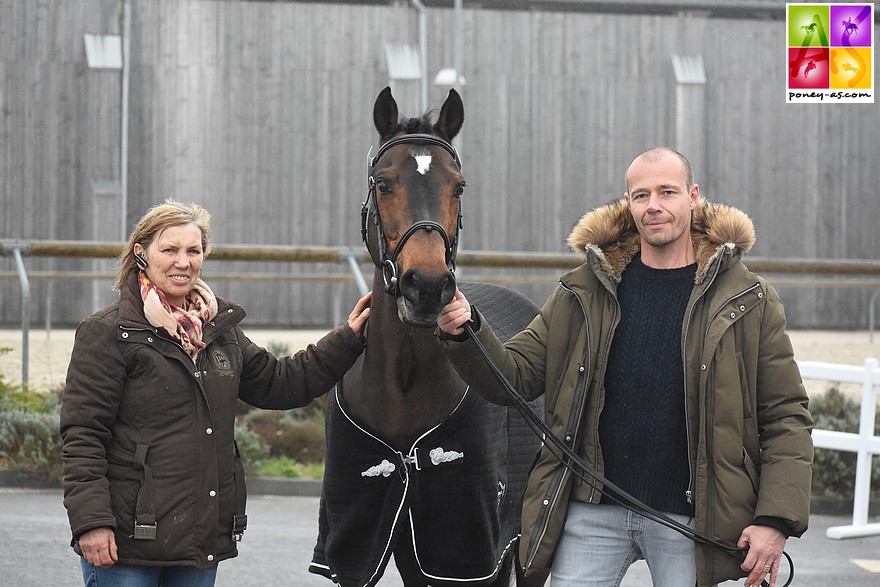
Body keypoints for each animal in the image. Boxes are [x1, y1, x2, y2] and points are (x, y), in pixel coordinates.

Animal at [310, 88, 544, 587]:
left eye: (458, 186)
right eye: (383, 183)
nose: (429, 287)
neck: (402, 385)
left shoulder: (463, 557)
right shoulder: (356, 556)